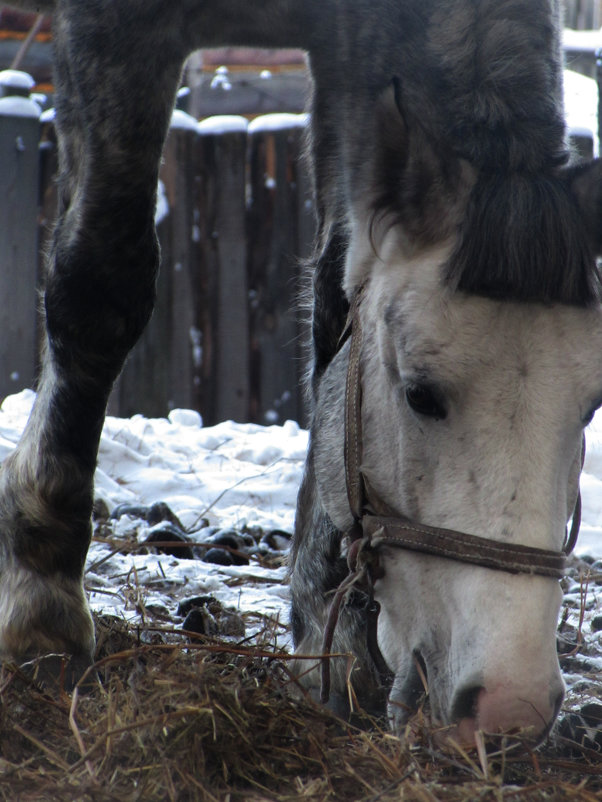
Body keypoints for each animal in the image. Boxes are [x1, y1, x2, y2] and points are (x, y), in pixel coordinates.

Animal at [3, 0, 600, 744]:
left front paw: (332, 640)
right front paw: (42, 608)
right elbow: (101, 283)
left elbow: (334, 300)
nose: (507, 708)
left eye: (590, 408)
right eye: (420, 394)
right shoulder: (113, 30)